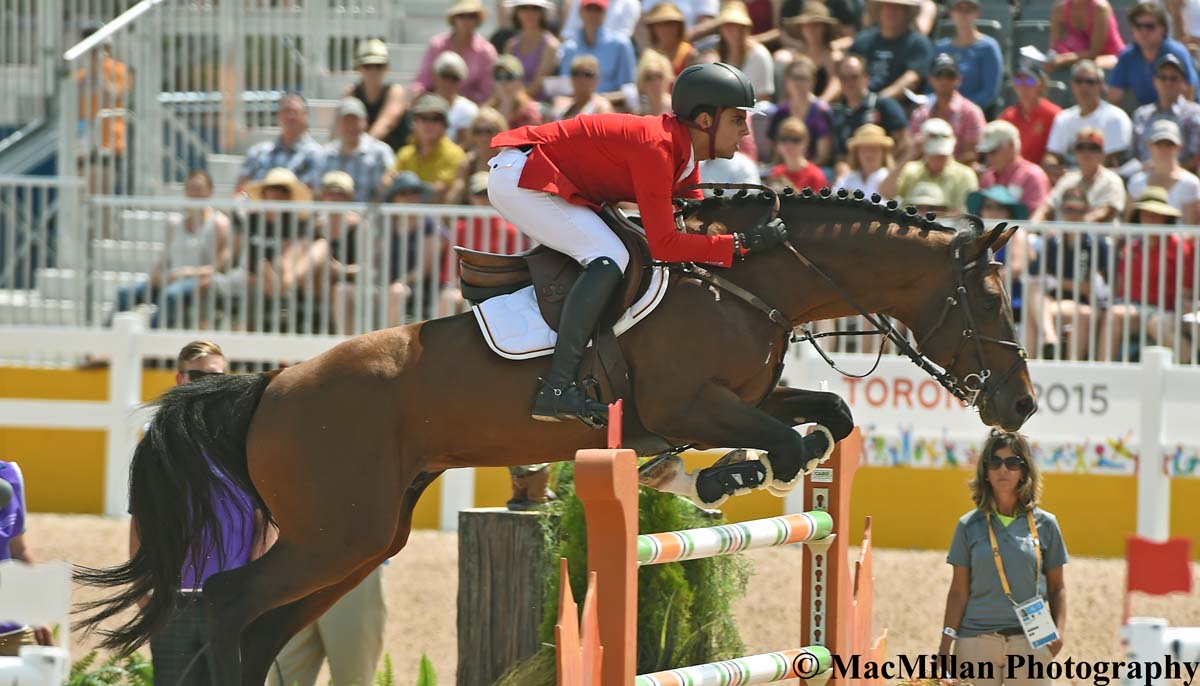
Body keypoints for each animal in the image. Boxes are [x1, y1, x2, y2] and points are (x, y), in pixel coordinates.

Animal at [75, 189, 1036, 686]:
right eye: (991, 300)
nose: (1020, 406)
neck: (750, 283)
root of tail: (271, 384)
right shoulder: (688, 406)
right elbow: (792, 442)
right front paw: (719, 481)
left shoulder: (746, 395)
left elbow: (828, 419)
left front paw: (729, 477)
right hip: (336, 534)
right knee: (229, 602)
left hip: (360, 539)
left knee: (262, 627)